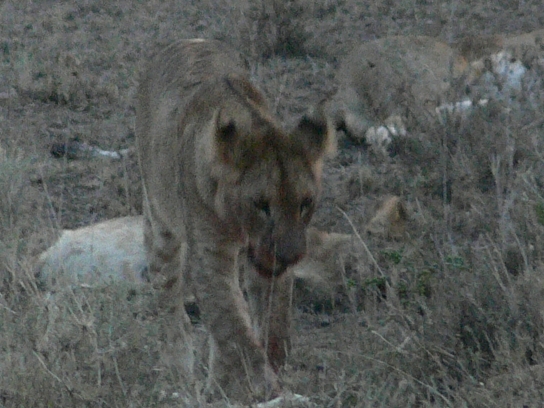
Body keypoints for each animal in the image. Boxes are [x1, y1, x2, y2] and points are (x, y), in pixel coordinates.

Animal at [135, 39, 334, 402]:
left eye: (305, 203)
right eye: (261, 204)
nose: (291, 254)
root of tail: (185, 40)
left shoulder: (269, 264)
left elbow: (271, 323)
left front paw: (266, 369)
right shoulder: (209, 253)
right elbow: (232, 325)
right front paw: (262, 385)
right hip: (160, 221)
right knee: (170, 302)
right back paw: (178, 371)